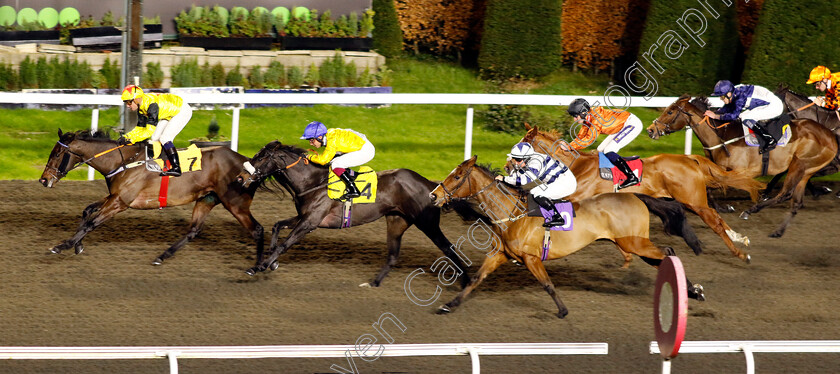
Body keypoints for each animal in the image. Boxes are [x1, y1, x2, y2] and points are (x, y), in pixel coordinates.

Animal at [37, 130, 262, 268]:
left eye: (57, 154)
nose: (43, 180)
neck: (123, 161)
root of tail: (248, 163)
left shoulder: (120, 203)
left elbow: (92, 222)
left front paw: (63, 245)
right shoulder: (115, 196)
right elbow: (87, 211)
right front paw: (77, 245)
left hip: (235, 203)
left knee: (257, 230)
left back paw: (260, 266)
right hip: (207, 198)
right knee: (194, 230)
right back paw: (161, 257)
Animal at [236, 140, 472, 286]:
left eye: (261, 158)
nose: (240, 177)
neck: (313, 182)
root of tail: (432, 185)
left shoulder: (310, 222)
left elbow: (286, 243)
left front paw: (260, 266)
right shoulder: (305, 217)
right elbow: (277, 225)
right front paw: (271, 262)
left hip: (427, 223)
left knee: (449, 248)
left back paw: (467, 281)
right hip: (397, 221)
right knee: (393, 254)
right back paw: (373, 283)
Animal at [430, 155, 704, 318]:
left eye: (457, 176)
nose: (434, 195)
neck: (511, 213)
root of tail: (635, 195)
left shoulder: (531, 258)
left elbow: (547, 284)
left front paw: (562, 311)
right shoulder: (500, 254)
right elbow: (476, 279)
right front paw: (448, 305)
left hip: (634, 242)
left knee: (668, 252)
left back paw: (693, 290)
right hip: (633, 243)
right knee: (661, 258)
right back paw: (691, 291)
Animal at [516, 125, 764, 266]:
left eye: (524, 145)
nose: (510, 163)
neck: (576, 166)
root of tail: (689, 159)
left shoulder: (580, 201)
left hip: (693, 200)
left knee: (715, 222)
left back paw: (740, 253)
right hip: (691, 201)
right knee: (717, 218)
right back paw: (740, 239)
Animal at [648, 95, 836, 237]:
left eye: (670, 111)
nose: (650, 130)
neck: (721, 137)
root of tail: (831, 136)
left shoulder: (740, 172)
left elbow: (713, 186)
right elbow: (709, 188)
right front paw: (722, 208)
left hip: (799, 164)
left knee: (786, 193)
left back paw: (750, 210)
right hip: (806, 170)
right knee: (796, 201)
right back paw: (778, 231)